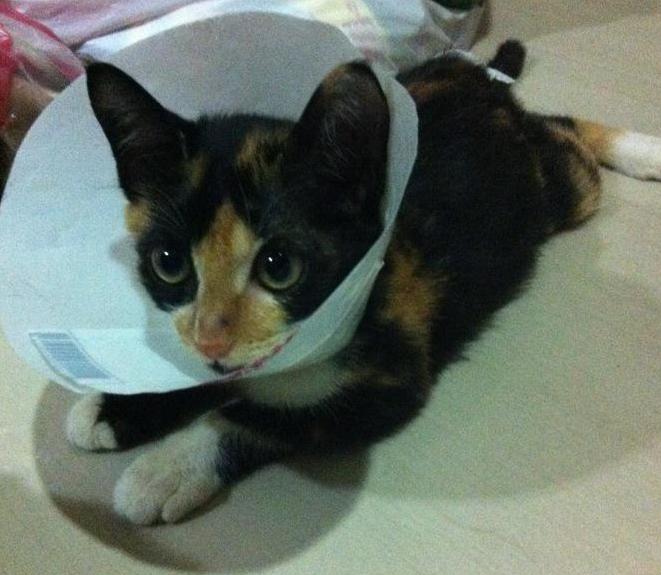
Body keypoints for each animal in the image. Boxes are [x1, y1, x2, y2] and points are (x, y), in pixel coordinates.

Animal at [67, 41, 661, 525]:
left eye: (278, 267)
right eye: (168, 262)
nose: (213, 339)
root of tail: (472, 76)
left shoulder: (391, 377)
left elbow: (266, 416)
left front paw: (167, 468)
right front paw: (114, 408)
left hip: (558, 191)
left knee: (566, 140)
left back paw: (640, 149)